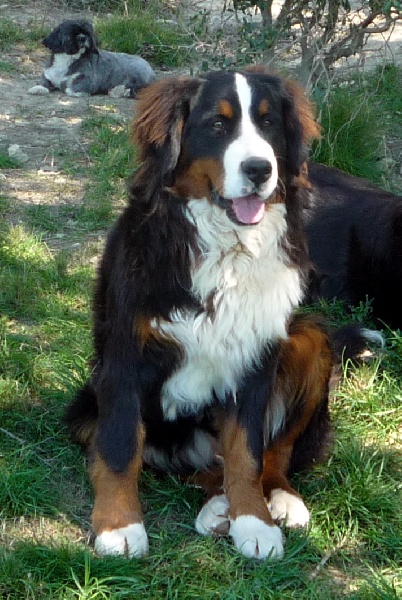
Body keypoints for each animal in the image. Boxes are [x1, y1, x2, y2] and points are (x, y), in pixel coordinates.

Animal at [27, 19, 155, 97]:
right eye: (72, 34)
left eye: (87, 33)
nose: (83, 37)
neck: (67, 60)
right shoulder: (49, 74)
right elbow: (44, 82)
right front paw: (38, 88)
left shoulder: (88, 80)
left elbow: (71, 88)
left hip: (137, 76)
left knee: (139, 87)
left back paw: (119, 91)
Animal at [65, 68, 376, 560]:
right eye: (217, 125)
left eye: (268, 124)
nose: (260, 169)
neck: (226, 248)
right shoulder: (124, 358)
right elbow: (118, 448)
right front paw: (119, 527)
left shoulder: (255, 358)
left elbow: (247, 452)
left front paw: (254, 521)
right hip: (85, 409)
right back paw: (216, 508)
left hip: (309, 337)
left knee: (271, 456)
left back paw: (274, 501)